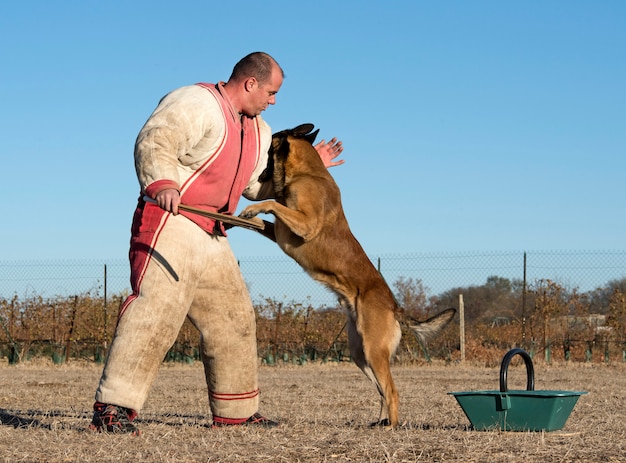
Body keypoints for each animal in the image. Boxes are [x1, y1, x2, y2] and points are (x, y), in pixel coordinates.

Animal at [239, 125, 454, 430]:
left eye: (269, 146)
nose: (251, 179)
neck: (307, 173)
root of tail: (395, 307)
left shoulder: (304, 224)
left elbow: (273, 205)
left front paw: (252, 209)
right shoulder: (280, 230)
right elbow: (262, 221)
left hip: (373, 351)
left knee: (392, 390)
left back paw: (391, 426)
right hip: (360, 353)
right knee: (381, 390)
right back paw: (380, 422)